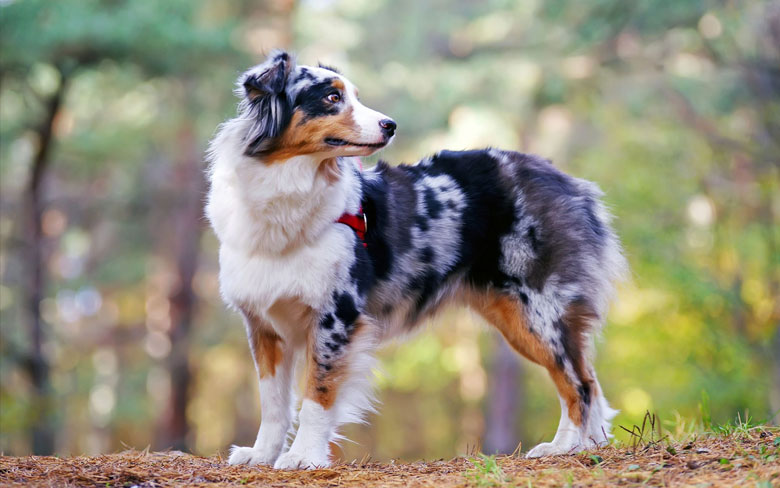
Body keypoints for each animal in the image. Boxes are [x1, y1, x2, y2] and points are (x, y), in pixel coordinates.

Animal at [206, 50, 628, 468]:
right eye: (331, 97)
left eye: (354, 96)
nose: (390, 125)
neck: (288, 188)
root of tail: (568, 181)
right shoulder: (264, 324)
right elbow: (274, 402)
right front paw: (263, 454)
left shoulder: (336, 316)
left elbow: (317, 393)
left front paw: (303, 457)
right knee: (587, 380)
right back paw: (586, 445)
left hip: (538, 311)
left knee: (580, 383)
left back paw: (564, 447)